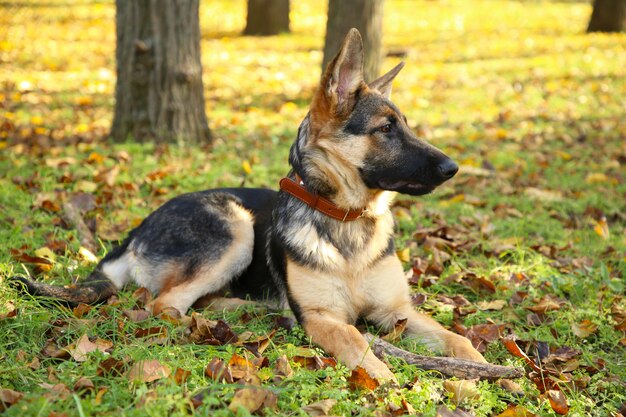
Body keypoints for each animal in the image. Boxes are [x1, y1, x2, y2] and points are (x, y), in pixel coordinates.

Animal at [13, 28, 482, 380]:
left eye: (405, 126)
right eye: (385, 128)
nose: (453, 168)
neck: (346, 221)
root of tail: (137, 229)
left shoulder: (398, 311)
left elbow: (457, 338)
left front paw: (483, 369)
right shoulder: (321, 318)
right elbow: (356, 340)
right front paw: (384, 379)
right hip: (235, 227)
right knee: (164, 305)